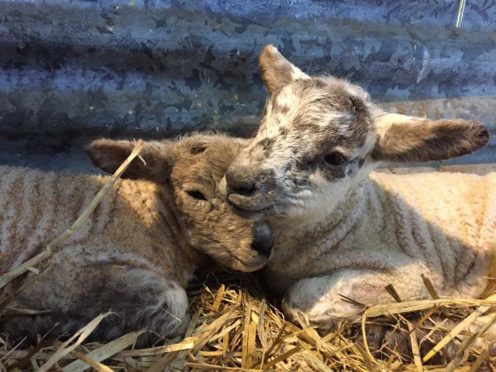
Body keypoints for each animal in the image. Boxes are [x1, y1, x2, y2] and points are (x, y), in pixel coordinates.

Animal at [225, 45, 496, 328]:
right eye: (263, 121)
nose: (237, 180)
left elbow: (299, 297)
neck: (357, 218)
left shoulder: (412, 277)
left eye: (334, 158)